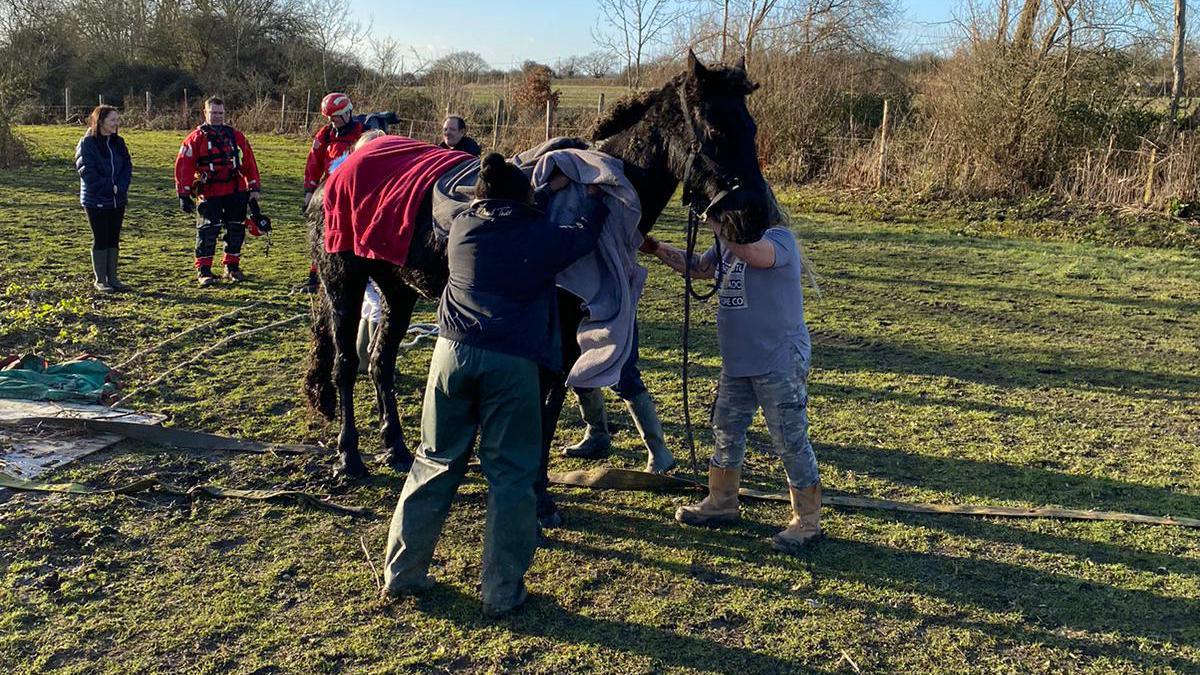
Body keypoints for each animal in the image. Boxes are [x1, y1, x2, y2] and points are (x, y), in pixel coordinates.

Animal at [304, 52, 777, 480]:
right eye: (716, 129)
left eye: (752, 128)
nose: (755, 216)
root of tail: (337, 172)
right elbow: (543, 411)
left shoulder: (567, 341)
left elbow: (549, 414)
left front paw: (541, 494)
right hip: (344, 284)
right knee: (345, 364)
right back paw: (350, 457)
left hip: (397, 289)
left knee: (380, 362)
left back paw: (397, 448)